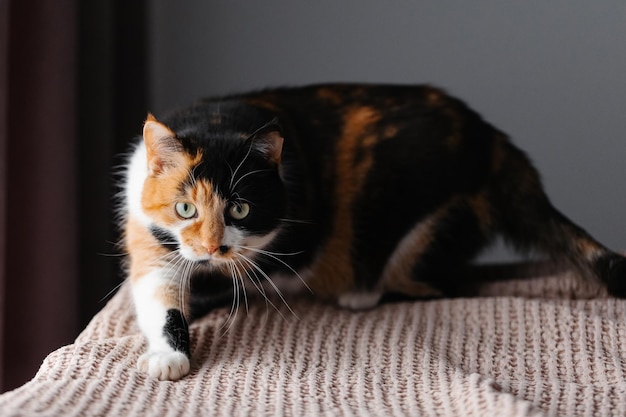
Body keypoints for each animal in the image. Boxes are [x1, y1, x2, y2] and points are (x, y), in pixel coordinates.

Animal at [120, 83, 624, 378]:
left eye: (241, 209)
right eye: (184, 208)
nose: (211, 246)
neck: (218, 122)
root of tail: (495, 143)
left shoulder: (287, 245)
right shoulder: (149, 236)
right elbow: (158, 292)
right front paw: (168, 353)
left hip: (419, 219)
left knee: (449, 282)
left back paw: (359, 294)